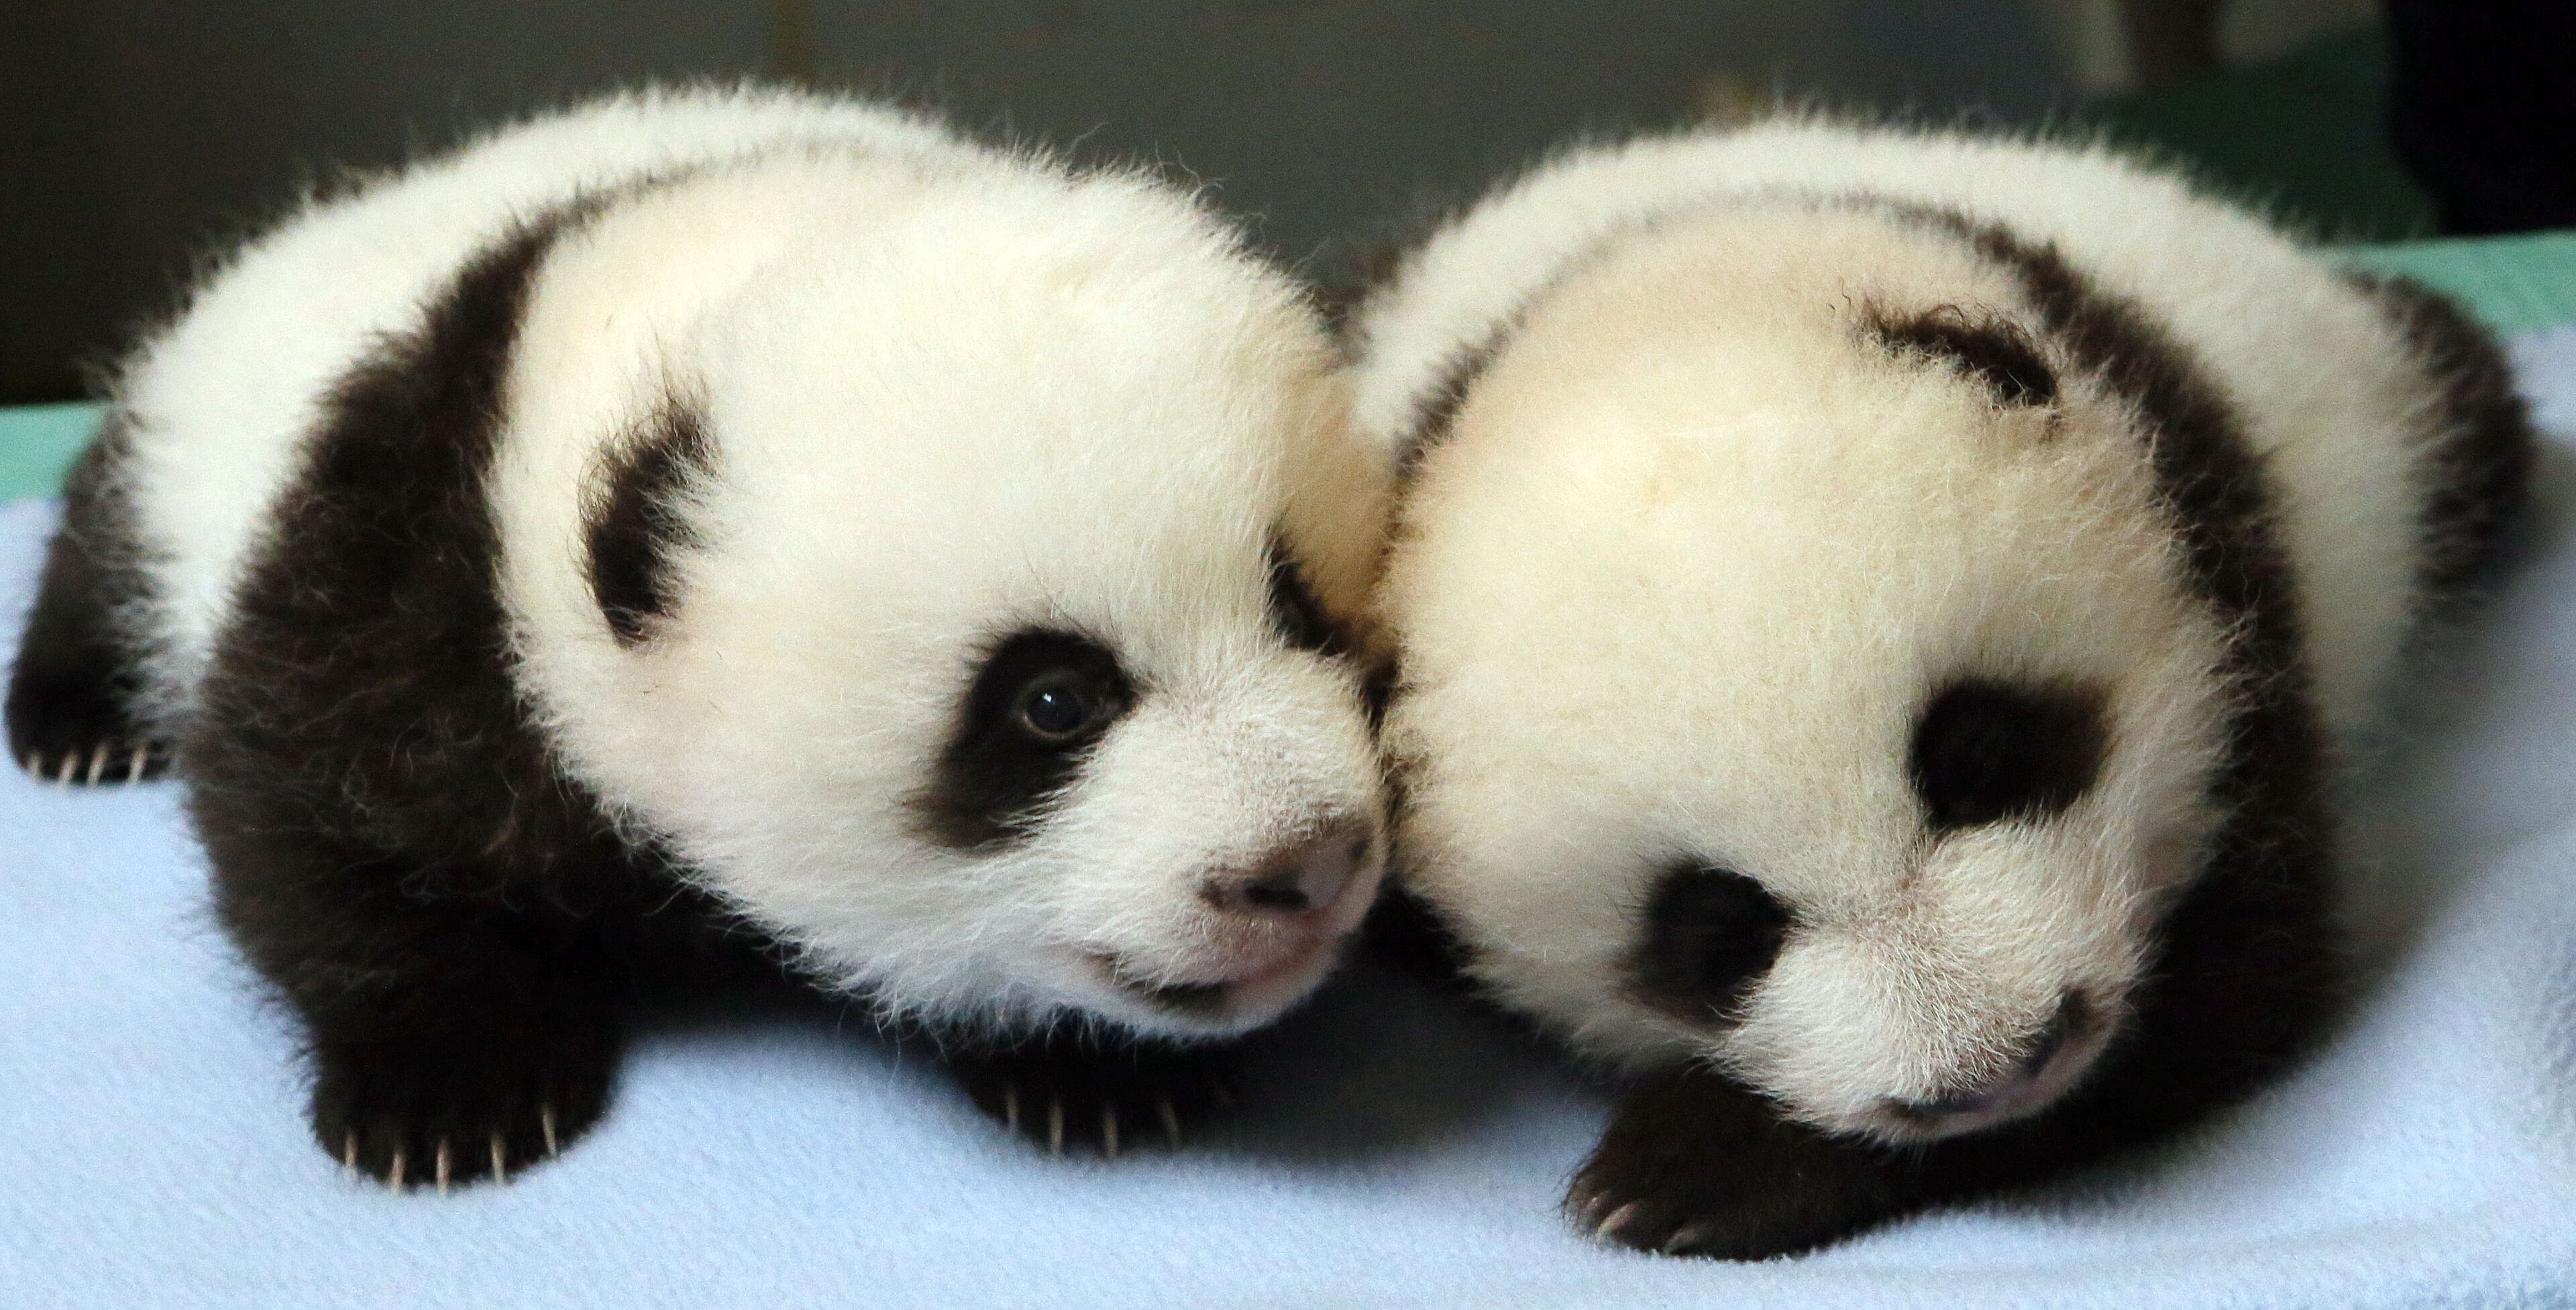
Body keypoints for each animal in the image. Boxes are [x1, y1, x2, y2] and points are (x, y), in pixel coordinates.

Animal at [3, 86, 1392, 1189]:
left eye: (1299, 609)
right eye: (1053, 702)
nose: (1309, 863)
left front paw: (1098, 1076)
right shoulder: (405, 566)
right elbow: (304, 821)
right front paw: (453, 1089)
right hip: (180, 434)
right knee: (106, 546)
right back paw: (81, 723)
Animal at [1344, 119, 2533, 1259]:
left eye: (1978, 760)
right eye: (1721, 933)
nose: (2003, 1067)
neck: (1654, 284)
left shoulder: (2226, 601)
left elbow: (2234, 985)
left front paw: (1686, 1172)